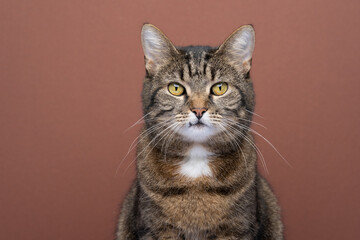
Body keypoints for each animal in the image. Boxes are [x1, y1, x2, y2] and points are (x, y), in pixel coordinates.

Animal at [116, 23, 284, 239]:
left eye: (220, 88)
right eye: (175, 88)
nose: (198, 110)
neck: (196, 161)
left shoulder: (237, 228)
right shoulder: (156, 228)